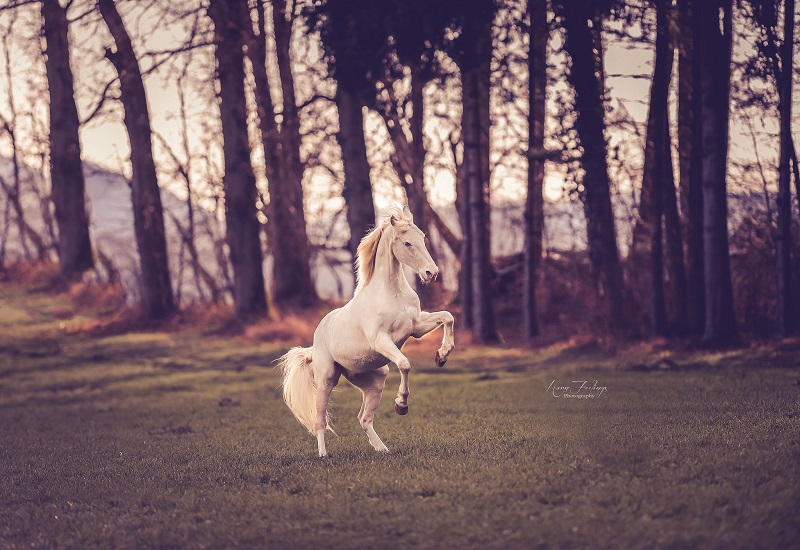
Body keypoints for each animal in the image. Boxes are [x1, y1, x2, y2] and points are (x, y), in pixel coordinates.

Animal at [280, 206, 456, 458]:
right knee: (320, 420)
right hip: (326, 380)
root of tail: (314, 346)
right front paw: (401, 405)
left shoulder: (416, 327)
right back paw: (323, 455)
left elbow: (447, 316)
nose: (431, 273)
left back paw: (383, 449)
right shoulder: (381, 339)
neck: (392, 293)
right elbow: (404, 364)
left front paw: (441, 356)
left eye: (423, 237)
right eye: (407, 243)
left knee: (364, 418)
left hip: (374, 381)